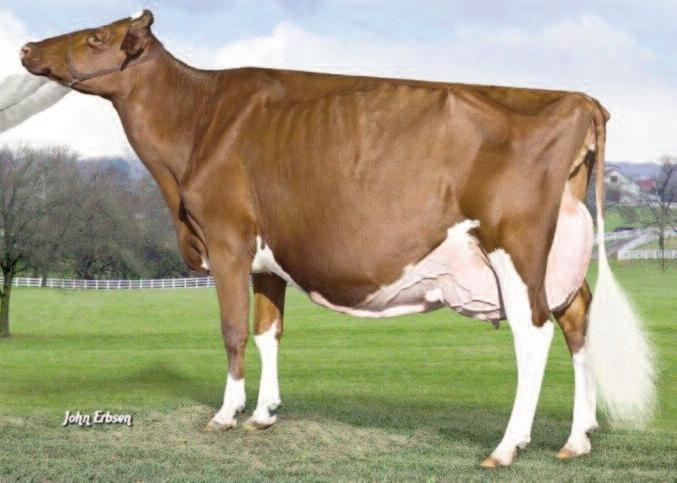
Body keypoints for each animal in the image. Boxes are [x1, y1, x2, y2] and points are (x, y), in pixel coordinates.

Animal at [19, 10, 655, 467]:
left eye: (97, 36)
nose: (26, 49)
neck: (198, 123)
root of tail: (580, 99)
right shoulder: (266, 259)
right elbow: (268, 331)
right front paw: (264, 414)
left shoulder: (226, 239)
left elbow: (232, 331)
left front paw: (226, 414)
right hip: (561, 256)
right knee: (577, 322)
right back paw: (577, 438)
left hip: (516, 247)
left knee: (534, 333)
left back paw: (506, 447)